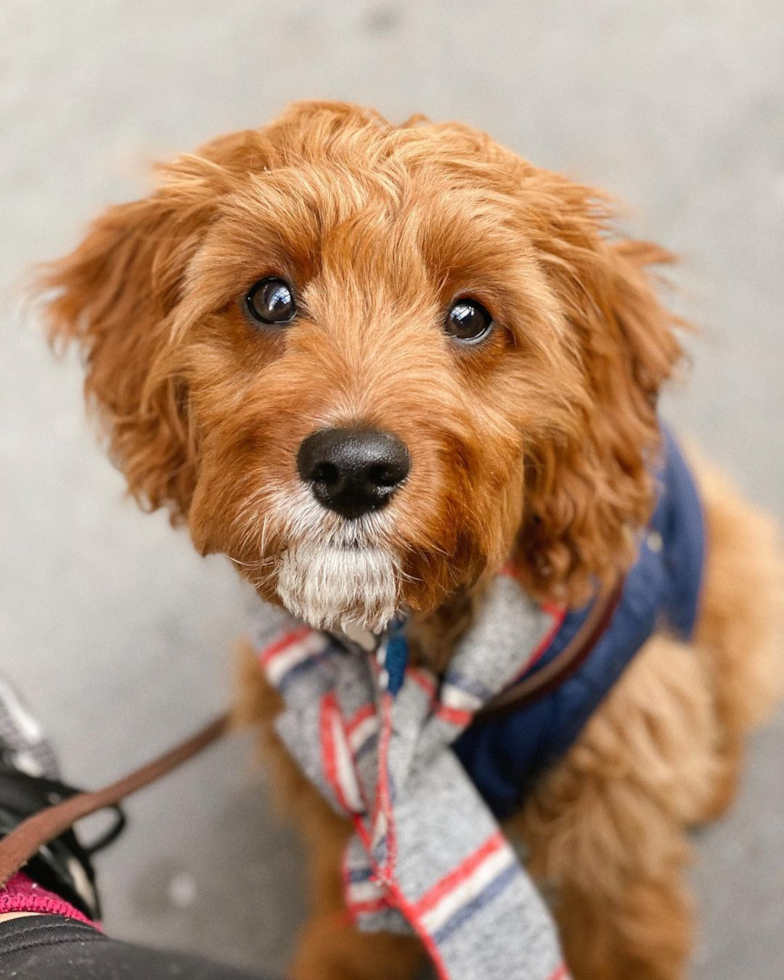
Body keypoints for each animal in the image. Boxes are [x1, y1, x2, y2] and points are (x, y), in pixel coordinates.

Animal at [38, 101, 784, 980]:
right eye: (270, 298)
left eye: (470, 317)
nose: (353, 470)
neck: (398, 665)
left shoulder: (616, 824)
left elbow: (624, 928)